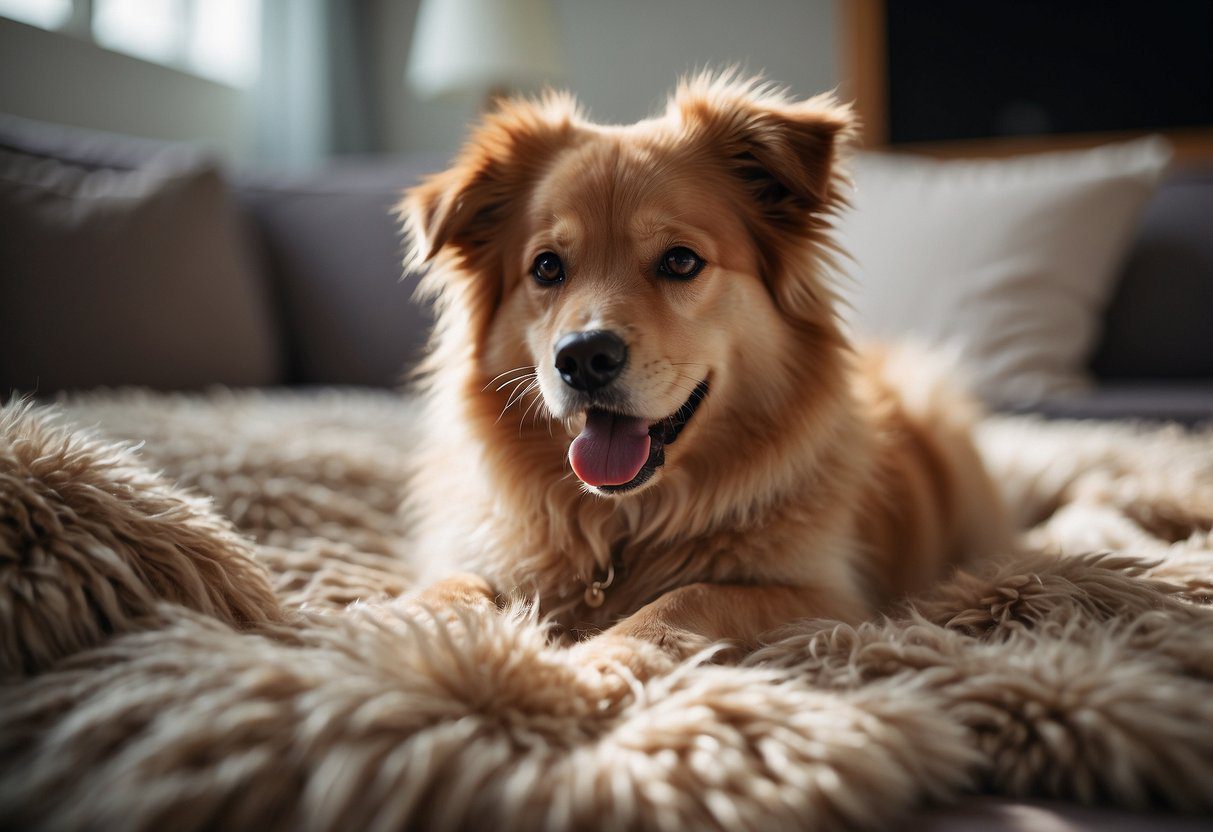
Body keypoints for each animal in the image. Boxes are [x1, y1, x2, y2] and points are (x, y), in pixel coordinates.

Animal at [393, 73, 1009, 669]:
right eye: (546, 267)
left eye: (681, 260)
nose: (583, 357)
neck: (619, 530)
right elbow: (451, 584)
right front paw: (424, 629)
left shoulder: (837, 599)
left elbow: (695, 594)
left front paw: (605, 654)